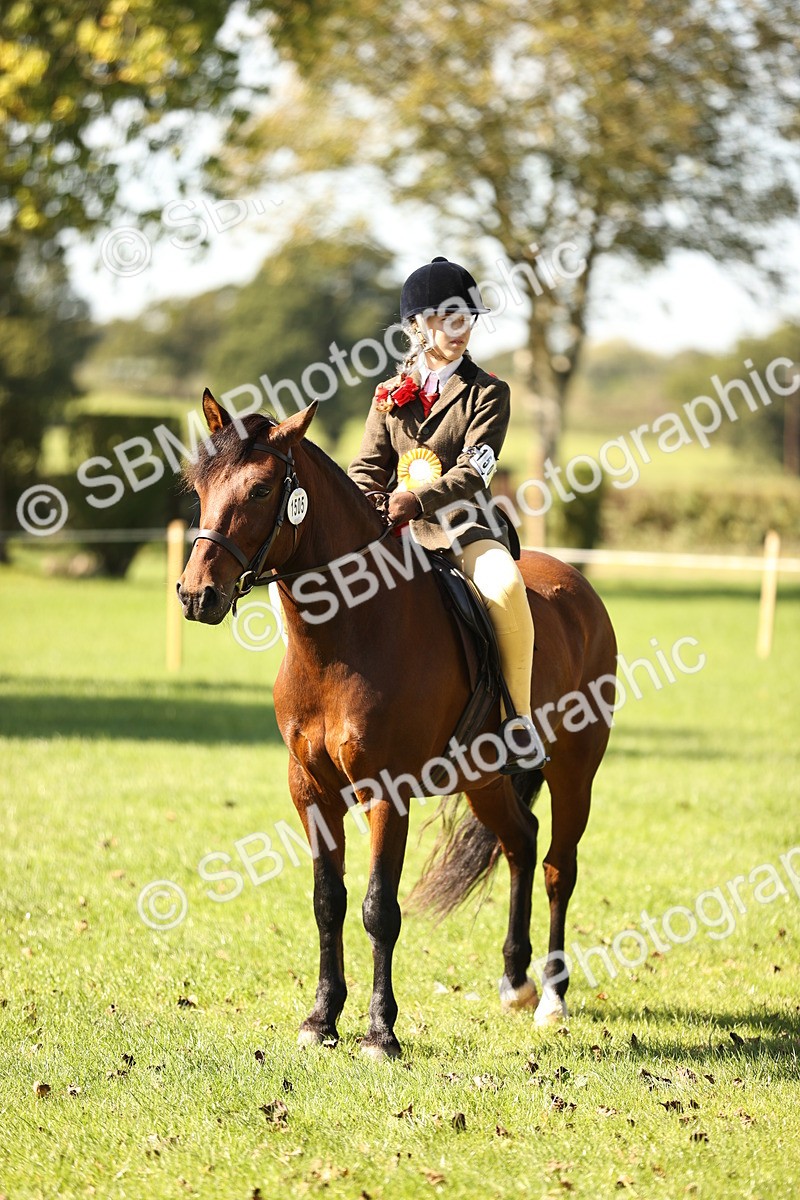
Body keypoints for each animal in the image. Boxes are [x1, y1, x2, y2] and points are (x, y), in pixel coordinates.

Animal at [177, 391, 617, 1059]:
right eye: (198, 486)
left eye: (260, 489)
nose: (196, 594)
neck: (343, 639)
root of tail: (581, 589)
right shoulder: (311, 790)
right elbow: (327, 902)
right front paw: (320, 1020)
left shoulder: (387, 792)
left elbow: (380, 908)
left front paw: (380, 1032)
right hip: (484, 779)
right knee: (521, 841)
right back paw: (515, 981)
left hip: (574, 773)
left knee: (557, 868)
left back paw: (551, 998)